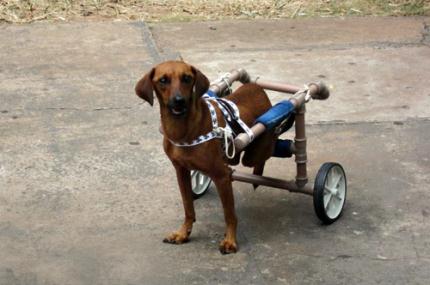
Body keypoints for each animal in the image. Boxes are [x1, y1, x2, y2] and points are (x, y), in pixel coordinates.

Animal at [135, 60, 276, 253]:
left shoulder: (222, 176)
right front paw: (183, 233)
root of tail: (257, 87)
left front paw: (230, 240)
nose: (179, 101)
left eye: (187, 78)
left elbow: (229, 214)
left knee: (265, 151)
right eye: (163, 80)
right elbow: (188, 207)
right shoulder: (181, 171)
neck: (183, 130)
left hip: (253, 153)